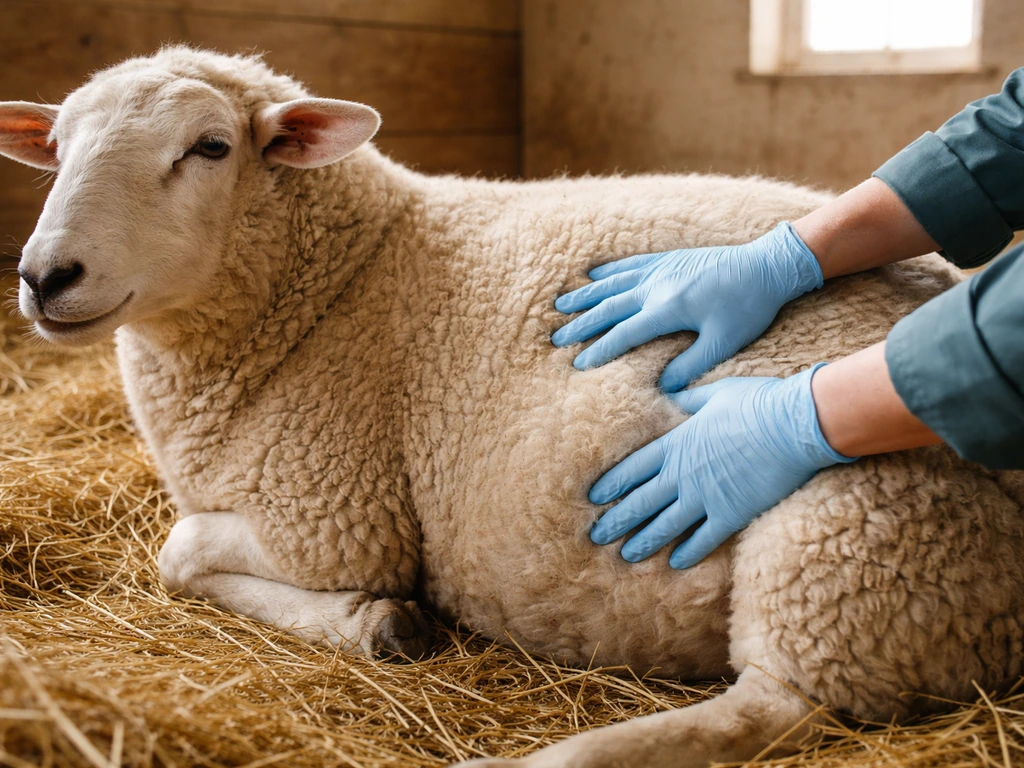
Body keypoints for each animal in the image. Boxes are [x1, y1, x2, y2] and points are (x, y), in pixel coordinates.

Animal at [3, 47, 1023, 768]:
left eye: (210, 148)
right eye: (59, 151)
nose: (46, 276)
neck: (336, 281)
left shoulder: (332, 519)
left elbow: (178, 551)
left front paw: (377, 622)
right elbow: (182, 550)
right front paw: (380, 625)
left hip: (854, 527)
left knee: (771, 709)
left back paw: (544, 760)